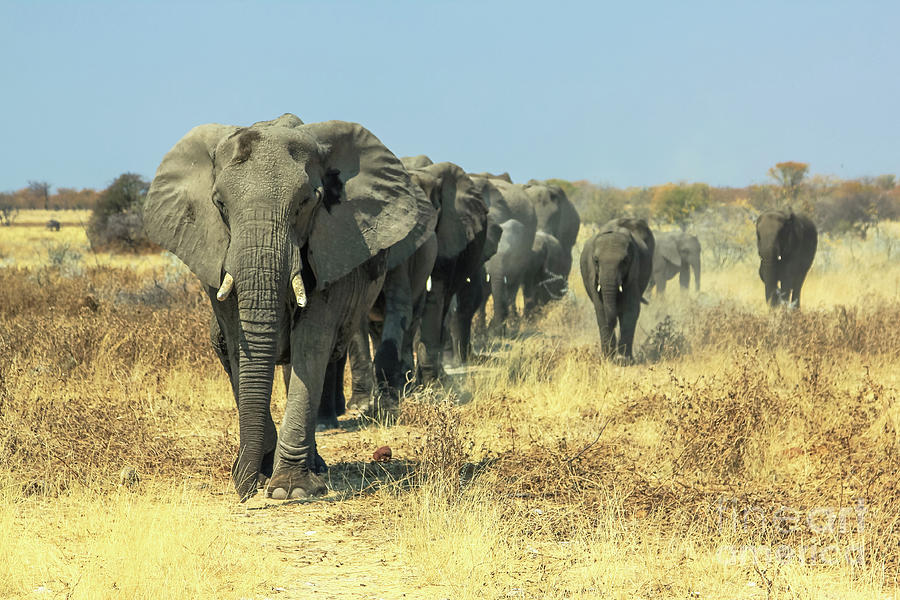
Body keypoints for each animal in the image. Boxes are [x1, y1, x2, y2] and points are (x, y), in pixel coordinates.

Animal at [143, 115, 432, 500]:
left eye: (305, 203)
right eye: (219, 204)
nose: (245, 489)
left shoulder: (333, 247)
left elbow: (311, 343)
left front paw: (288, 491)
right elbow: (237, 344)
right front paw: (260, 475)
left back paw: (313, 468)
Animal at [584, 219, 652, 364]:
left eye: (625, 261)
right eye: (596, 261)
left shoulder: (634, 272)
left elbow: (631, 309)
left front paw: (623, 361)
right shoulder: (592, 275)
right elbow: (601, 309)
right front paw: (607, 359)